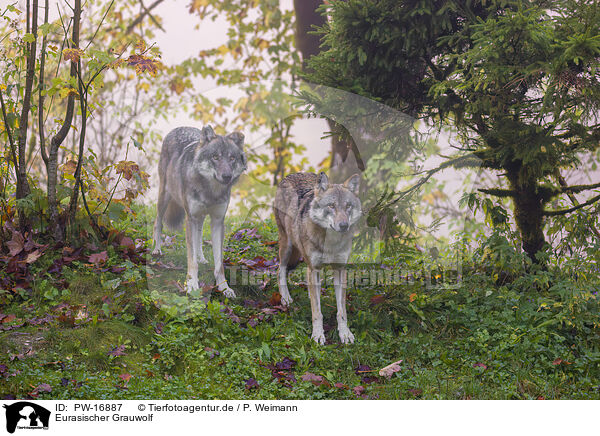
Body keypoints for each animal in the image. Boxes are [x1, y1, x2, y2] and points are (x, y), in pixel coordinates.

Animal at [152, 124, 246, 298]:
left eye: (232, 158)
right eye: (215, 157)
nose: (227, 176)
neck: (211, 192)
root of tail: (179, 127)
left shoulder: (218, 221)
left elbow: (219, 264)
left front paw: (224, 287)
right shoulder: (190, 218)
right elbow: (192, 260)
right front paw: (192, 285)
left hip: (200, 217)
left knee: (199, 235)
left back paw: (201, 257)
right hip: (165, 196)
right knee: (158, 222)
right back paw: (157, 249)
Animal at [274, 170, 360, 344]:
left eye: (348, 206)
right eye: (331, 206)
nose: (344, 225)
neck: (331, 243)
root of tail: (290, 175)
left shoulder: (340, 269)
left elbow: (342, 311)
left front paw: (345, 333)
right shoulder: (314, 269)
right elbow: (317, 312)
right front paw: (318, 335)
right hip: (287, 247)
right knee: (280, 271)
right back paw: (285, 298)